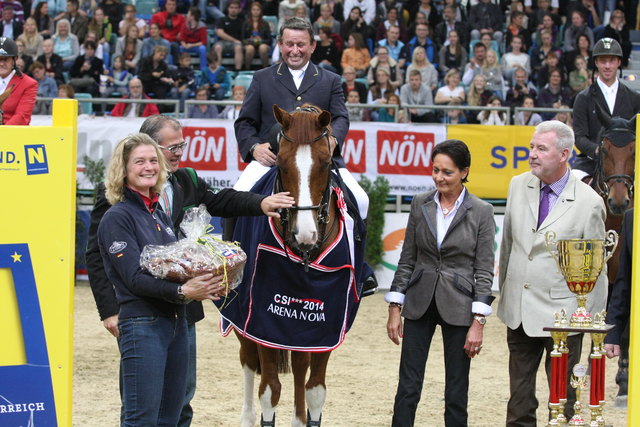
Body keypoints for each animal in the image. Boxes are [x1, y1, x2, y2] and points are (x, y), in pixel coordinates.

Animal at [222, 104, 364, 427]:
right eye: (281, 163)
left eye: (325, 163)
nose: (305, 234)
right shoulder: (261, 320)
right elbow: (270, 390)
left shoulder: (327, 326)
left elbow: (315, 390)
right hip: (239, 317)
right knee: (248, 362)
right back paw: (247, 417)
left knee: (300, 365)